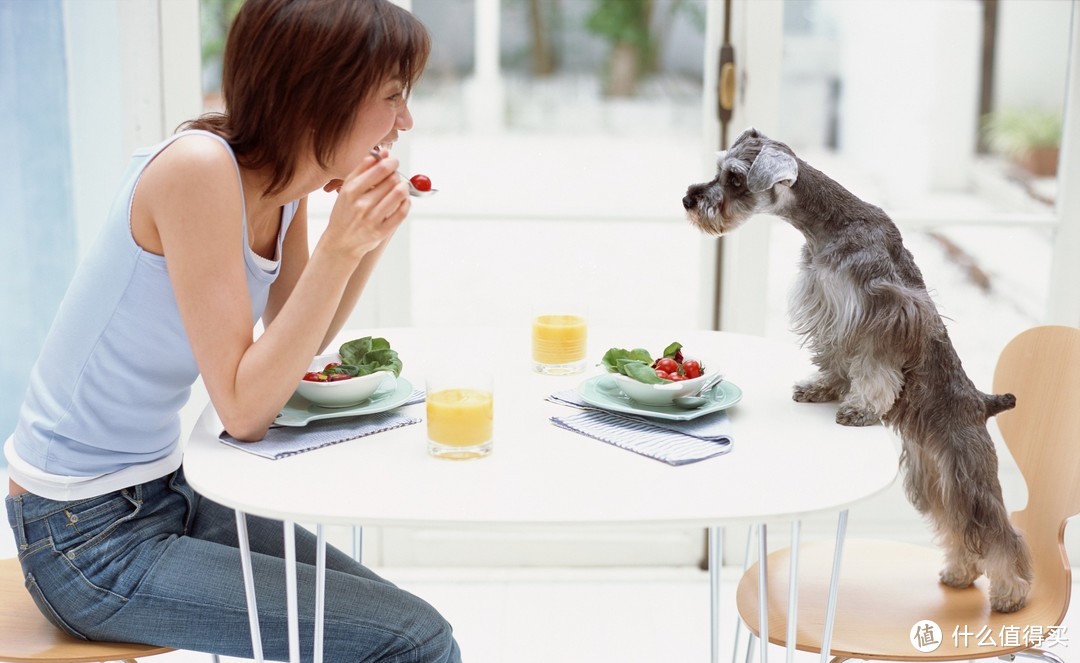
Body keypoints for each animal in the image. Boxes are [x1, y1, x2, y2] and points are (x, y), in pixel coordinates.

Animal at [686, 128, 1032, 613]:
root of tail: (984, 402)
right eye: (720, 169)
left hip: (968, 473)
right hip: (932, 476)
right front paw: (821, 388)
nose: (689, 199)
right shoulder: (827, 306)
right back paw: (960, 573)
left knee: (998, 530)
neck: (825, 224)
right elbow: (834, 357)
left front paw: (861, 408)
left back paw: (1011, 593)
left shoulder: (884, 313)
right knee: (955, 526)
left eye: (734, 179)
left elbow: (874, 369)